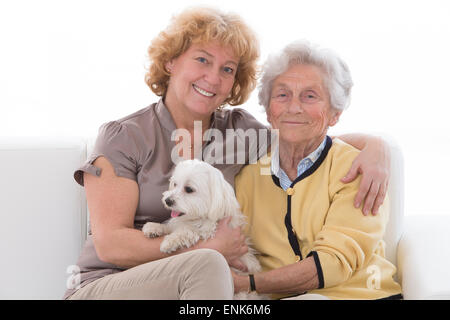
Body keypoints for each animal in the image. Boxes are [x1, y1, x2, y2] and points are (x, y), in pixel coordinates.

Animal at [142, 159, 264, 298]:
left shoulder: (208, 230)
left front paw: (169, 242)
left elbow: (189, 231)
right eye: (175, 184)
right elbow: (171, 226)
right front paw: (154, 228)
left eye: (189, 189)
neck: (197, 218)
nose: (167, 200)